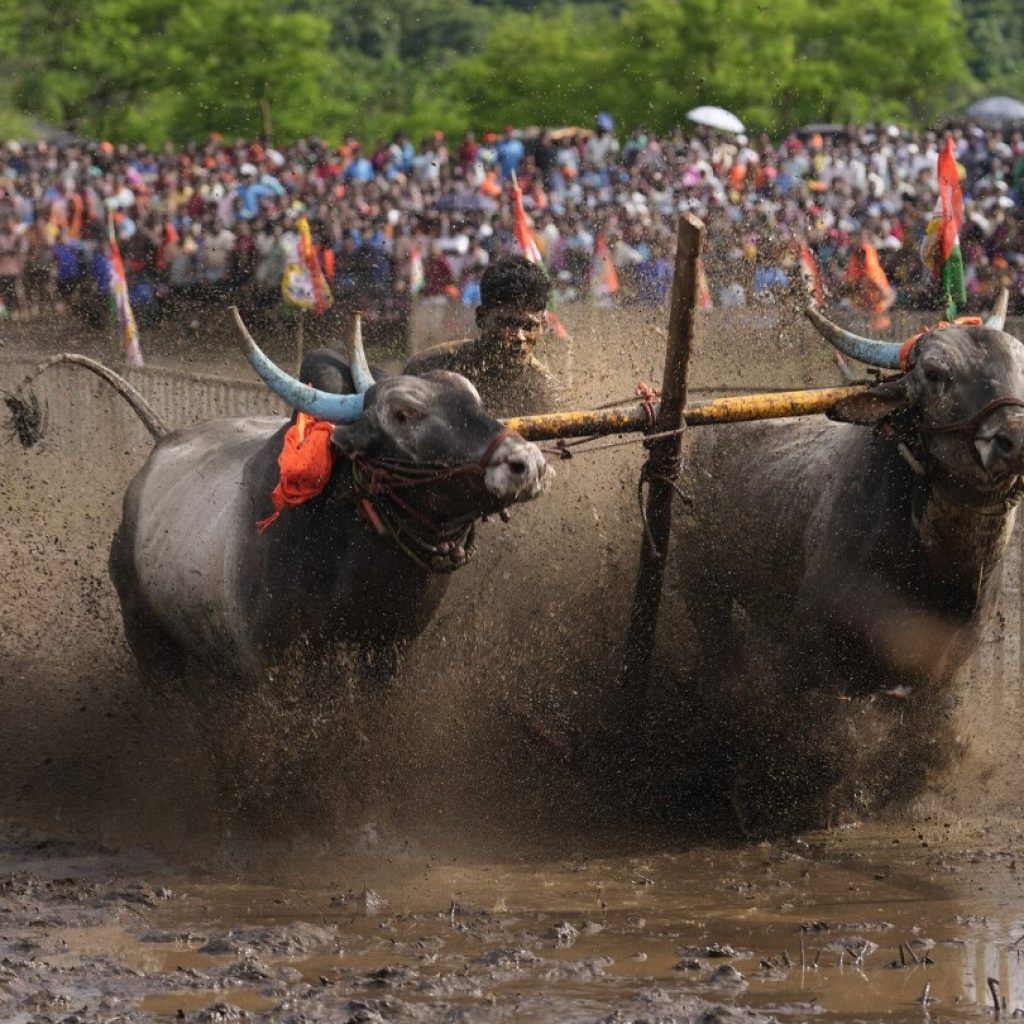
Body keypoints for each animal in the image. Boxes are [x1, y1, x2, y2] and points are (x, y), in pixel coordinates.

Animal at [9, 307, 552, 684]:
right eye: (403, 415)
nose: (526, 462)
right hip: (148, 640)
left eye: (474, 397)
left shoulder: (387, 658)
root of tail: (165, 439)